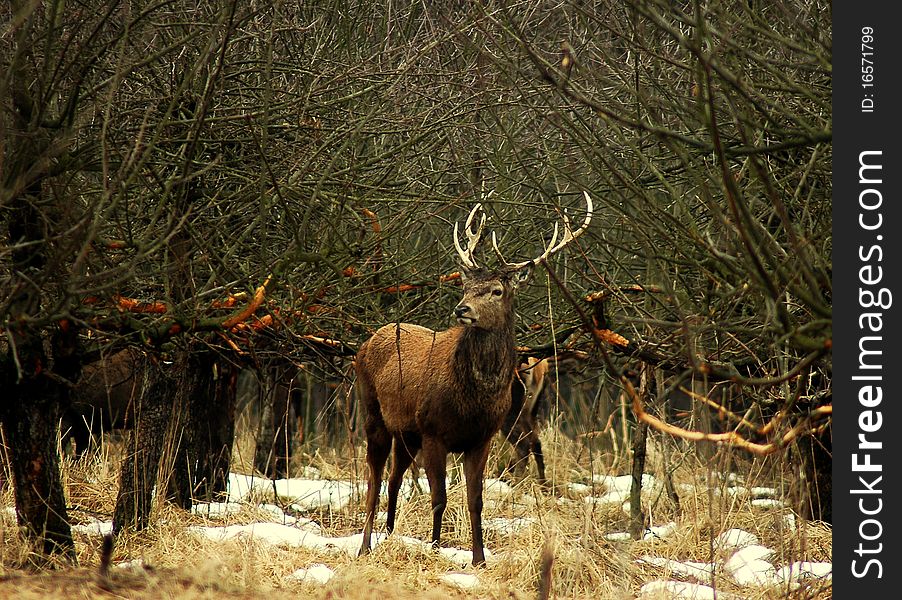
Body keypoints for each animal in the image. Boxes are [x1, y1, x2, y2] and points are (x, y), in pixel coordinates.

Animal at [356, 191, 596, 564]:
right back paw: (365, 546)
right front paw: (435, 547)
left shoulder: (481, 437)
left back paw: (390, 534)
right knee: (374, 479)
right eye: (466, 285)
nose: (462, 309)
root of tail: (368, 341)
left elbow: (476, 500)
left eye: (497, 290)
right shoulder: (434, 430)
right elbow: (438, 497)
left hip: (408, 431)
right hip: (372, 410)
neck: (472, 398)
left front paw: (479, 558)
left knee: (394, 477)